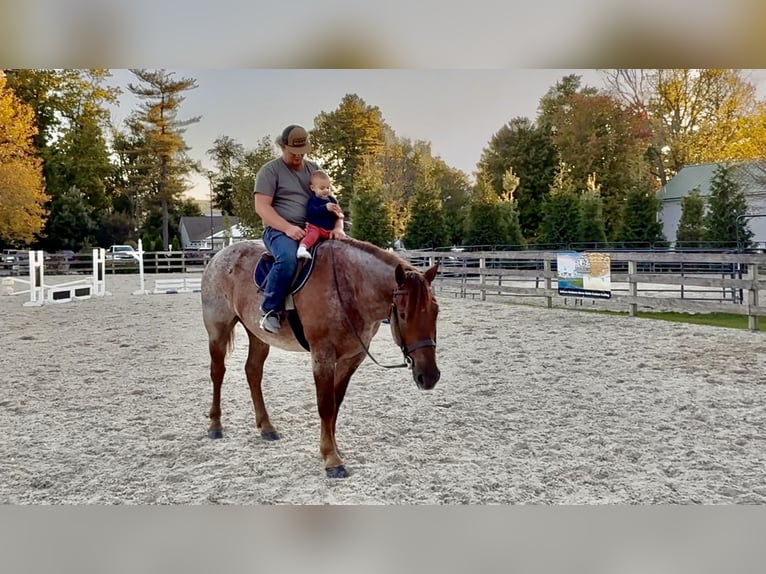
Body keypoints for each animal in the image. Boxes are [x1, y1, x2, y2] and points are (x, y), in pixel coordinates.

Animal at [200, 237, 441, 478]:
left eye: (436, 311)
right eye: (402, 314)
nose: (429, 376)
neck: (350, 287)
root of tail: (219, 255)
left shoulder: (352, 358)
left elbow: (336, 403)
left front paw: (333, 448)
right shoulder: (322, 356)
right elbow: (326, 405)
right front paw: (332, 459)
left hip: (258, 336)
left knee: (253, 372)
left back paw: (266, 427)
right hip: (218, 330)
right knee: (218, 372)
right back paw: (215, 425)